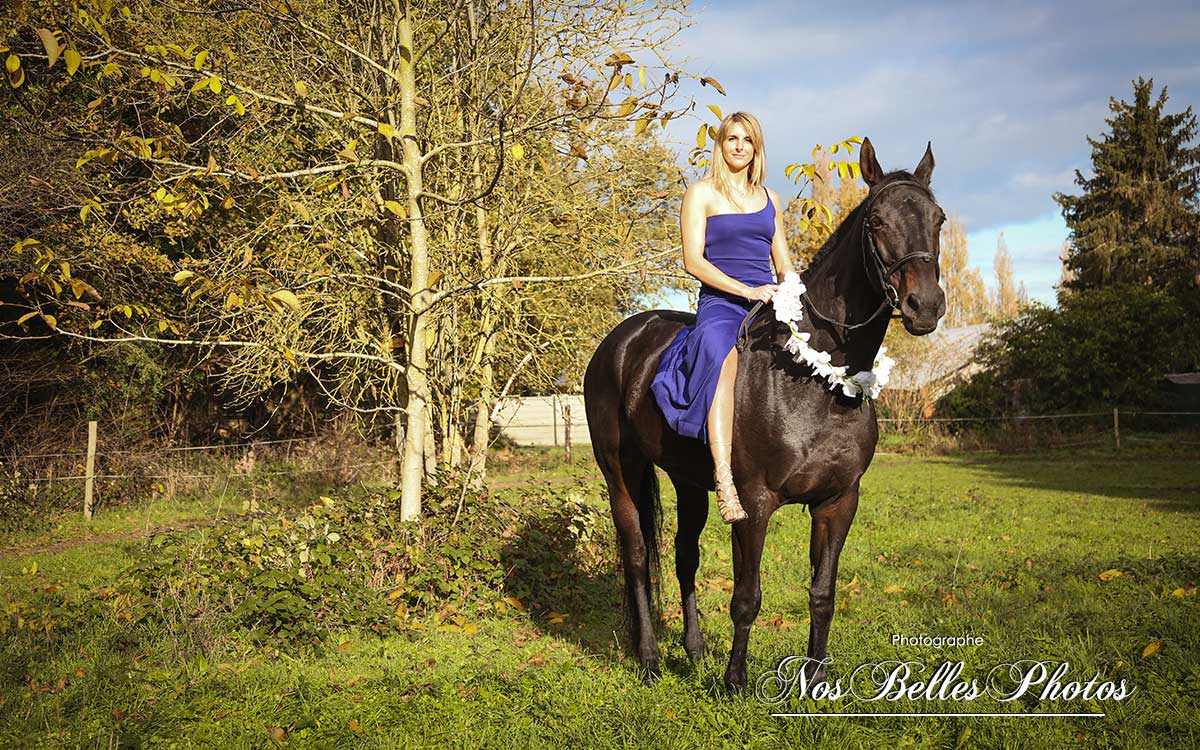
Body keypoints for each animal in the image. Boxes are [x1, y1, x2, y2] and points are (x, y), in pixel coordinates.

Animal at [582, 137, 947, 691]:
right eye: (877, 221)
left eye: (939, 219)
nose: (924, 305)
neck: (816, 381)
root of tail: (621, 340)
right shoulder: (754, 503)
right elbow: (746, 598)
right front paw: (734, 683)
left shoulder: (838, 503)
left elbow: (822, 595)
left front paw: (816, 681)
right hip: (621, 472)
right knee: (639, 556)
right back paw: (648, 659)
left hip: (691, 482)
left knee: (684, 557)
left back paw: (694, 653)